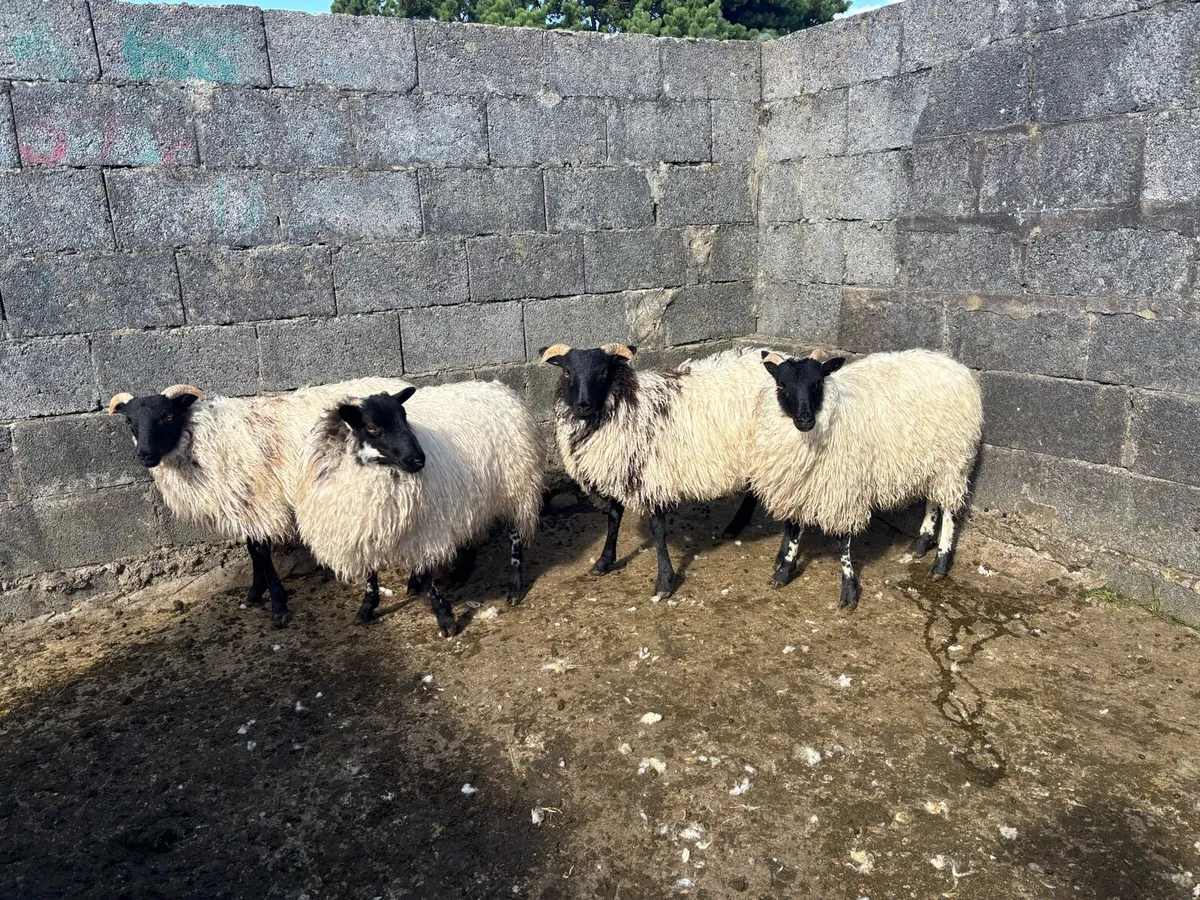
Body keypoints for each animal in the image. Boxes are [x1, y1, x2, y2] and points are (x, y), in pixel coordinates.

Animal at [107, 377, 412, 625]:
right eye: (129, 421)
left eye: (168, 416)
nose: (145, 455)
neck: (200, 437)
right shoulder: (245, 503)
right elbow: (252, 549)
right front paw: (254, 594)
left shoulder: (261, 499)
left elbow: (262, 552)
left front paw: (278, 605)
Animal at [292, 380, 543, 638]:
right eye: (372, 427)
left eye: (404, 417)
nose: (418, 460)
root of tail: (498, 387)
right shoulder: (365, 524)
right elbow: (371, 573)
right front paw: (366, 608)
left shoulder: (425, 527)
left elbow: (428, 574)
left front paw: (445, 619)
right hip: (472, 497)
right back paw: (460, 574)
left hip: (516, 488)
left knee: (515, 537)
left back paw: (514, 588)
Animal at [540, 342, 770, 599]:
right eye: (567, 372)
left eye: (603, 372)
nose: (583, 405)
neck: (624, 401)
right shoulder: (621, 467)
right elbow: (613, 518)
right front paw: (604, 562)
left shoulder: (652, 475)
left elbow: (657, 531)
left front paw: (664, 583)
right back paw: (736, 525)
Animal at [749, 348, 983, 610]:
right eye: (781, 384)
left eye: (818, 382)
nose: (805, 419)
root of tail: (954, 365)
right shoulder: (797, 486)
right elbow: (793, 530)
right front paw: (784, 571)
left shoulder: (846, 488)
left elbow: (843, 542)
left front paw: (849, 590)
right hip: (933, 462)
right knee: (933, 500)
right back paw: (921, 543)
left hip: (953, 462)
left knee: (950, 509)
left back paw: (941, 562)